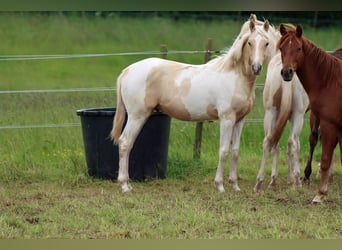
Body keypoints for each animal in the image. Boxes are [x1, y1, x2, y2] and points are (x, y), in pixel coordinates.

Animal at [111, 15, 276, 192]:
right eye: (250, 42)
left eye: (266, 43)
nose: (256, 68)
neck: (234, 76)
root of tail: (127, 71)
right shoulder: (227, 119)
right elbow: (223, 151)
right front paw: (220, 186)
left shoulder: (239, 120)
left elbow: (235, 151)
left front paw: (235, 186)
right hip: (136, 116)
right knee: (125, 143)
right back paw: (125, 185)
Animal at [278, 23, 342, 203]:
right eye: (281, 49)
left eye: (299, 48)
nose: (287, 72)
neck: (330, 80)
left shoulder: (329, 124)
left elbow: (326, 159)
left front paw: (320, 194)